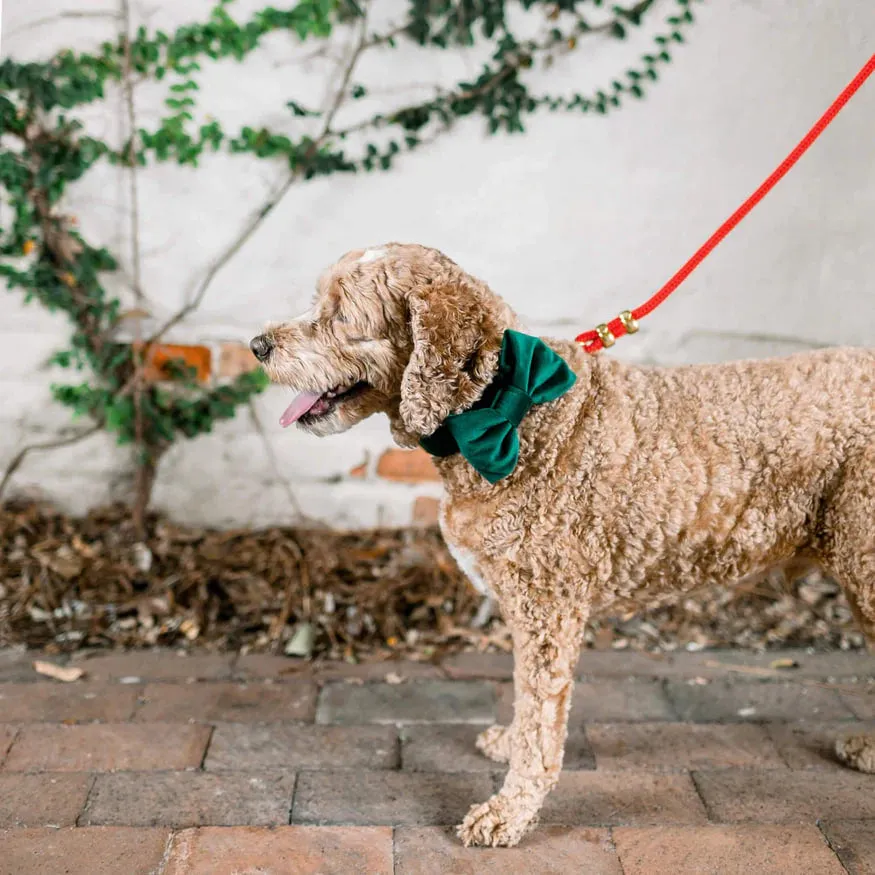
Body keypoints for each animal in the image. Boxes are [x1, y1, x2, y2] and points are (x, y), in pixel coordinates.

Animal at [252, 241, 875, 848]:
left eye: (342, 315)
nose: (258, 345)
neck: (507, 409)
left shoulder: (548, 608)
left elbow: (540, 720)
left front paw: (508, 813)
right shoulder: (527, 606)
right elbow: (526, 702)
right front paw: (508, 744)